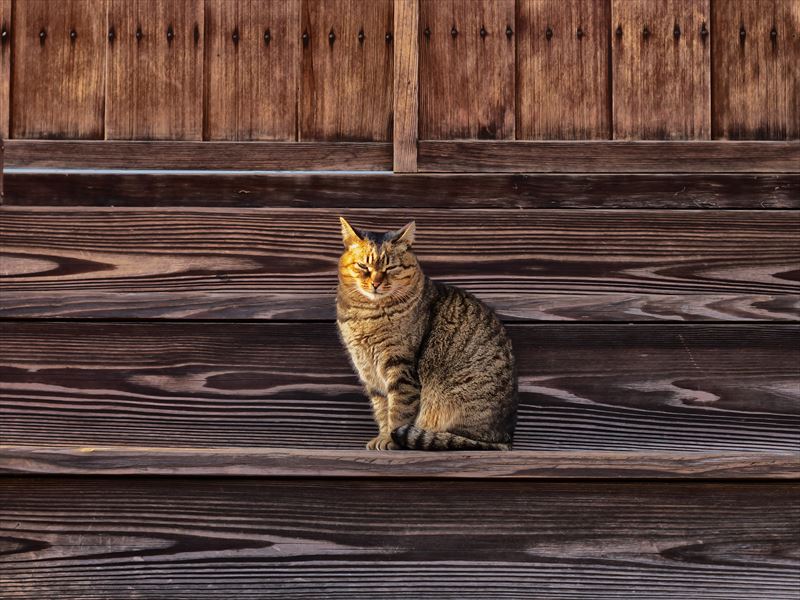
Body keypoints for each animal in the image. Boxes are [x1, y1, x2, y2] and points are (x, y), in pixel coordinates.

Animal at [334, 219, 516, 450]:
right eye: (363, 266)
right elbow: (382, 409)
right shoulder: (368, 372)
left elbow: (398, 411)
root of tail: (506, 439)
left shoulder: (400, 367)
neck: (367, 314)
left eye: (391, 267)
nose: (375, 283)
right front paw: (381, 436)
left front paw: (389, 440)